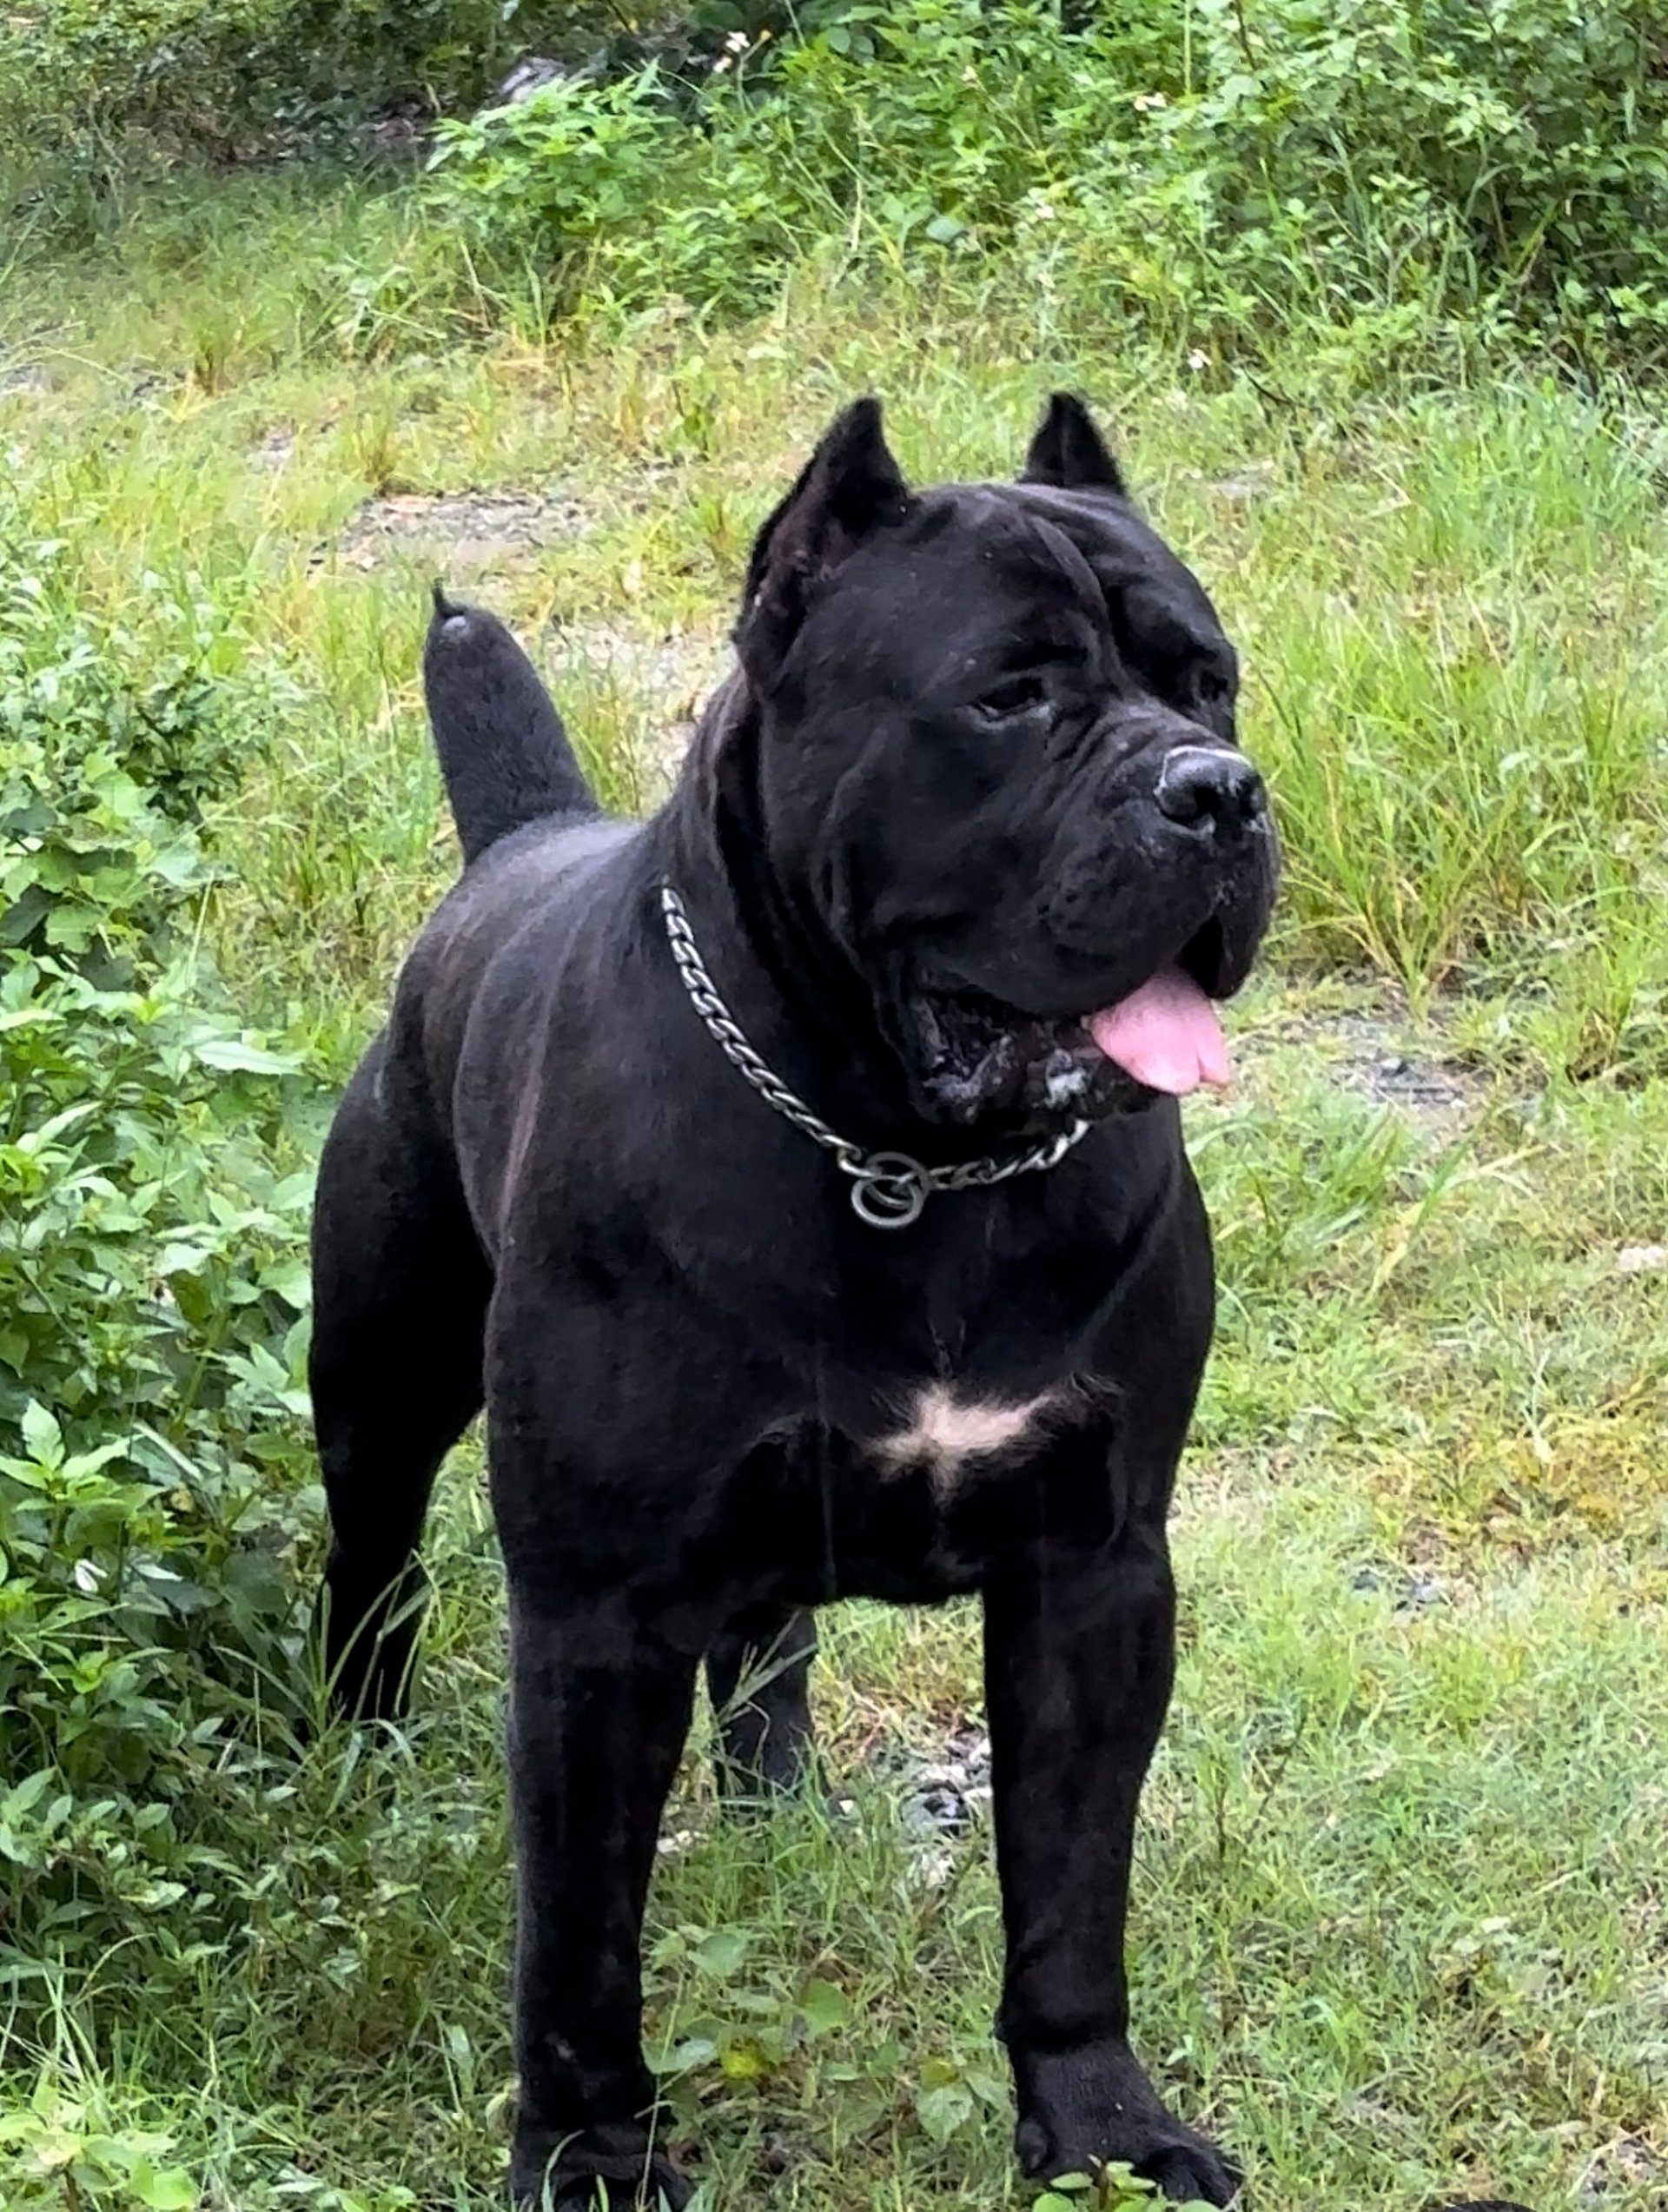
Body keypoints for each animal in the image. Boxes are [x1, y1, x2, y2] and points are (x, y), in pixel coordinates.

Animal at [311, 393, 1280, 2208]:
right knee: (372, 1563)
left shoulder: (1099, 1569)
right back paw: (359, 1746)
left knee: (769, 1646)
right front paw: (589, 2155)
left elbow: (1072, 1886)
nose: (1221, 793)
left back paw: (780, 1814)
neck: (908, 1159)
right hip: (381, 1383)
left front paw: (1099, 2127)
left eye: (1211, 682)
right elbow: (580, 1937)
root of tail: (516, 847)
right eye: (1008, 697)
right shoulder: (597, 1616)